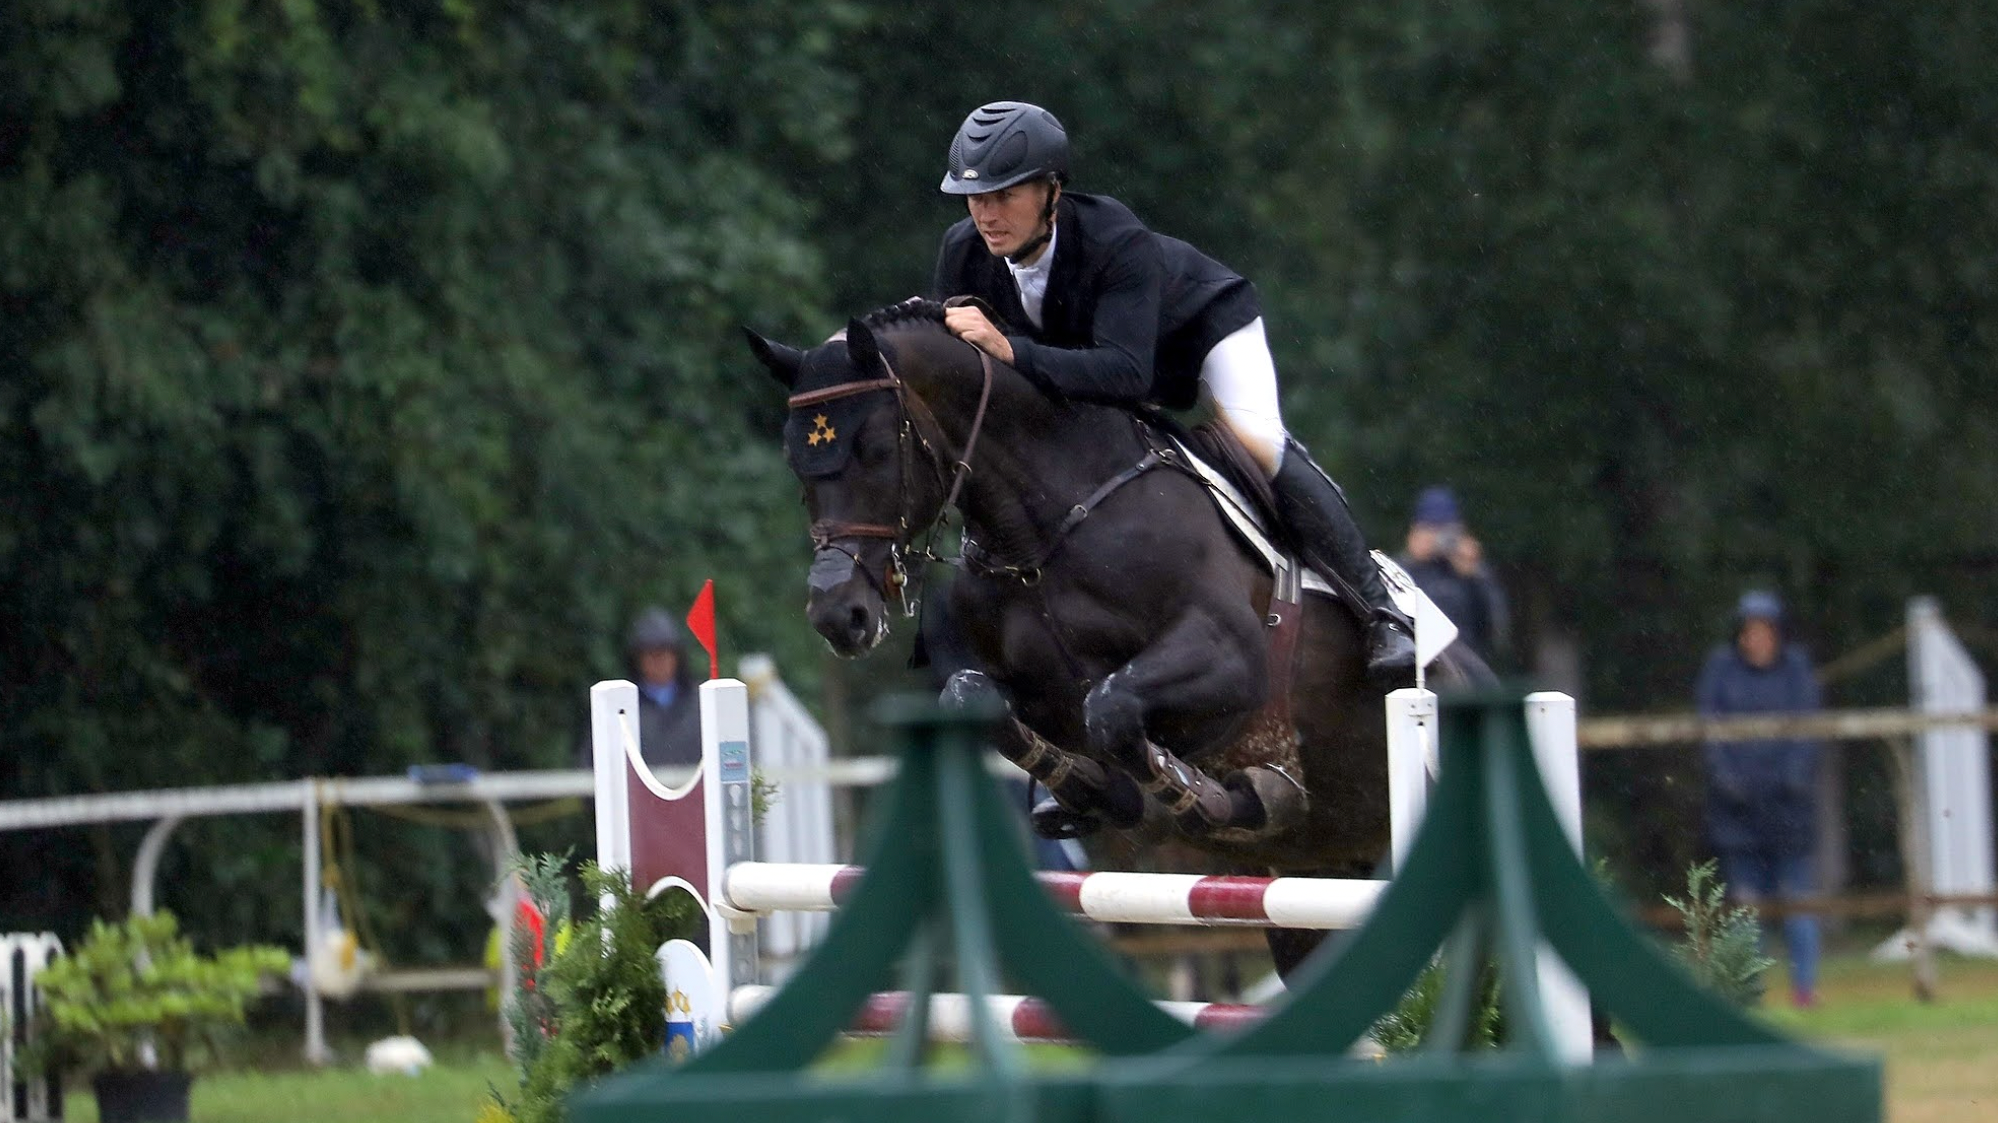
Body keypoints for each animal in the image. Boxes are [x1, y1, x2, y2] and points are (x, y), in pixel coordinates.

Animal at [751, 299, 1486, 971]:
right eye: (794, 463)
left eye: (875, 450)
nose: (837, 614)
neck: (1043, 533)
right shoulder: (1013, 682)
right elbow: (979, 699)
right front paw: (1090, 791)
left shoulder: (1229, 658)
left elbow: (1111, 705)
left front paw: (1212, 794)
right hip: (1313, 892)